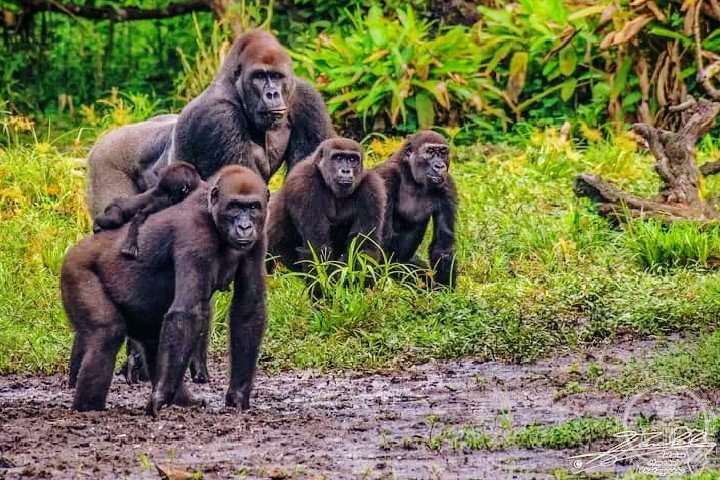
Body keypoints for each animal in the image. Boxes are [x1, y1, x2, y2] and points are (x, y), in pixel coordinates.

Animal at [62, 166, 269, 415]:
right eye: (235, 206)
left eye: (253, 207)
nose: (245, 227)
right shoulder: (195, 231)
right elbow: (186, 312)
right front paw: (160, 396)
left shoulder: (259, 237)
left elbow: (248, 307)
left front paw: (238, 394)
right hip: (75, 270)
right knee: (106, 334)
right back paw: (88, 408)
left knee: (152, 341)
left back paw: (182, 398)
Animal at [266, 138, 385, 286]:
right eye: (338, 158)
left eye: (352, 159)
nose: (346, 171)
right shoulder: (303, 181)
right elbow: (317, 246)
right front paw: (325, 289)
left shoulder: (372, 187)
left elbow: (364, 246)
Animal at [372, 131, 458, 288]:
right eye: (430, 152)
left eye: (443, 153)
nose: (440, 166)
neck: (411, 176)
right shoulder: (386, 178)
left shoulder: (448, 186)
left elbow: (443, 245)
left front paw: (445, 290)